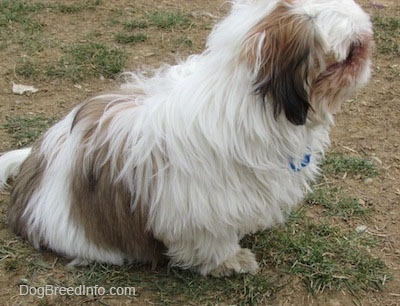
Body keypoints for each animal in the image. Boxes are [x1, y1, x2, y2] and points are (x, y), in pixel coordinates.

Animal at [1, 0, 374, 276]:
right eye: (352, 52)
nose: (370, 47)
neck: (251, 102)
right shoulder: (202, 205)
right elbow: (210, 240)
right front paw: (230, 260)